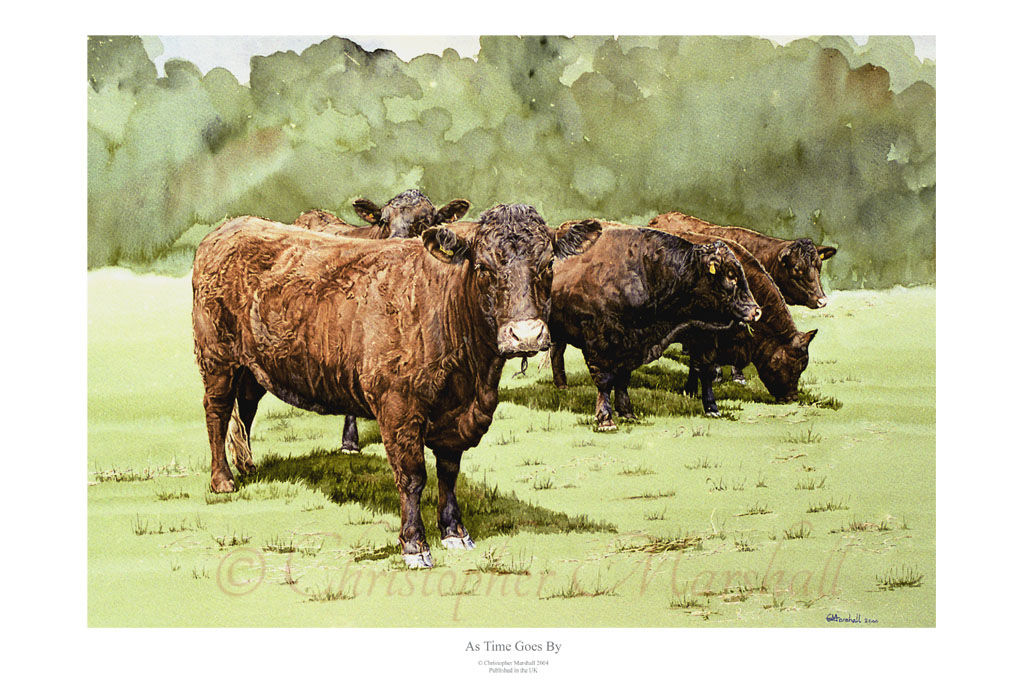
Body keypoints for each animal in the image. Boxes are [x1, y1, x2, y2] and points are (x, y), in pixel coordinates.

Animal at [193, 205, 593, 568]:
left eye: (548, 265)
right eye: (483, 268)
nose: (526, 335)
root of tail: (232, 225)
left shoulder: (458, 415)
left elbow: (448, 472)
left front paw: (455, 532)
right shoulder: (398, 406)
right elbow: (413, 476)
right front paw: (415, 546)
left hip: (253, 366)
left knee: (245, 408)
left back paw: (248, 466)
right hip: (217, 358)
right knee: (217, 411)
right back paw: (223, 480)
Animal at [549, 222, 816, 418]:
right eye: (792, 364)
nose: (791, 398)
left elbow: (701, 369)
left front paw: (706, 403)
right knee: (557, 352)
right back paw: (561, 386)